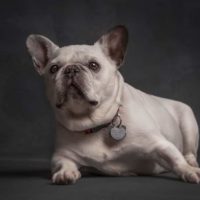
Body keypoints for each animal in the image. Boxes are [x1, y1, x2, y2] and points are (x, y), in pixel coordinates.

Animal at [26, 25, 198, 184]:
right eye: (53, 69)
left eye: (94, 65)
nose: (71, 69)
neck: (96, 124)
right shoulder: (62, 154)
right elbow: (63, 163)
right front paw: (65, 173)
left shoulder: (160, 144)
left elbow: (176, 159)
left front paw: (189, 171)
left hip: (188, 122)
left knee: (188, 152)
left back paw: (192, 163)